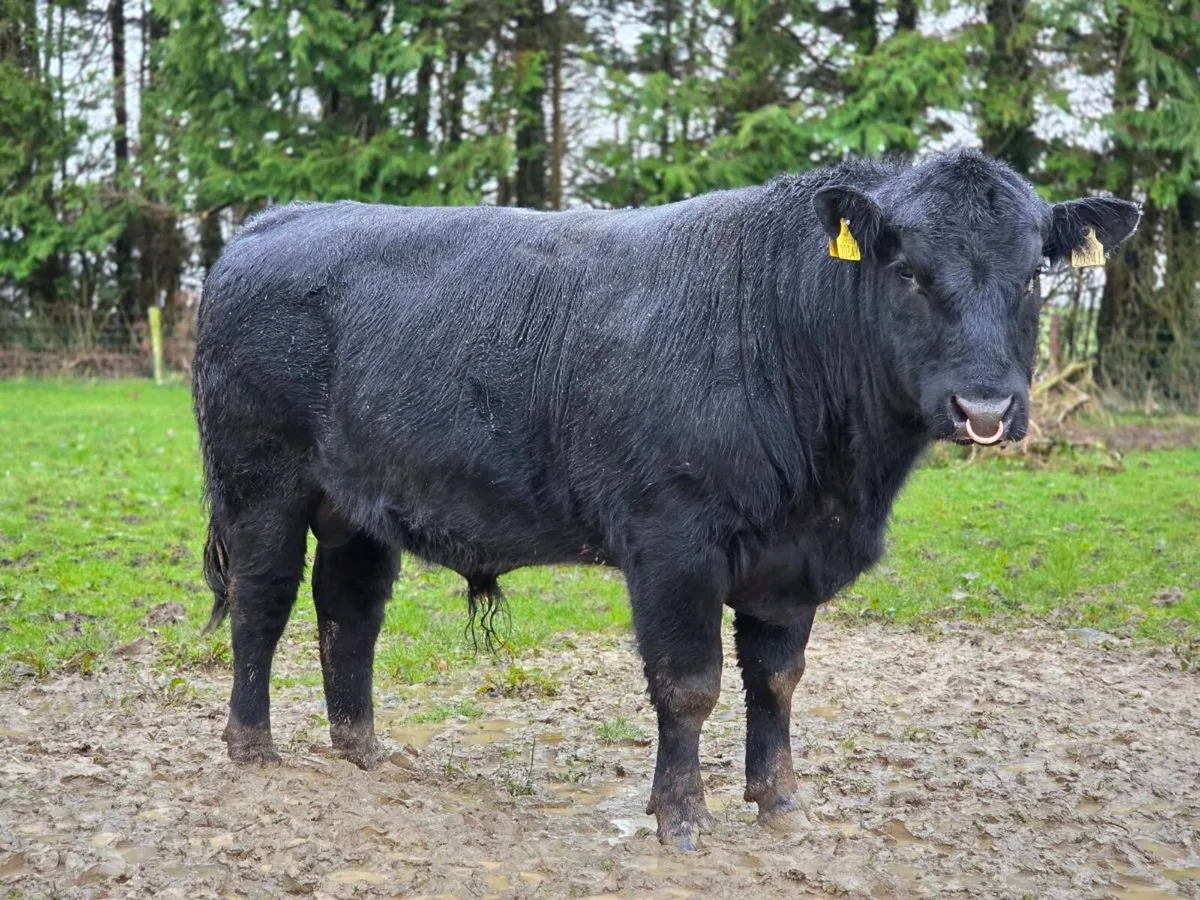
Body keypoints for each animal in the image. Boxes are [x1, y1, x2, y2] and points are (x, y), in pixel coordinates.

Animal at [193, 149, 1139, 850]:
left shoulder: (789, 560)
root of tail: (275, 222)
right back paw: (252, 748)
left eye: (1032, 275)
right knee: (263, 604)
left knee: (348, 613)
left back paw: (361, 751)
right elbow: (690, 684)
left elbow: (777, 679)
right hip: (260, 483)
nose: (986, 407)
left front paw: (781, 804)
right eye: (906, 269)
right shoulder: (673, 541)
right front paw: (681, 815)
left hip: (357, 507)